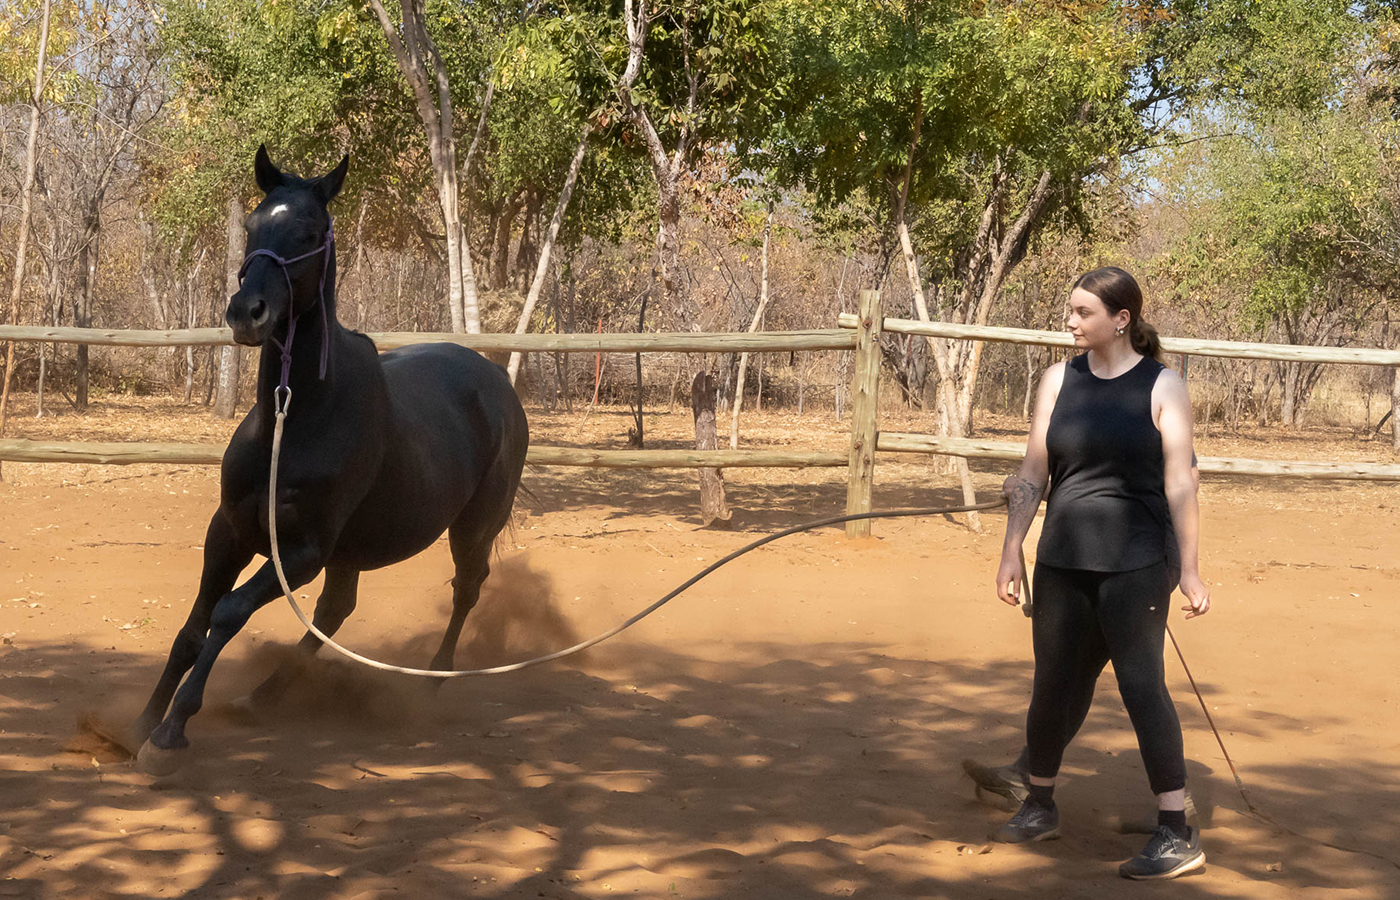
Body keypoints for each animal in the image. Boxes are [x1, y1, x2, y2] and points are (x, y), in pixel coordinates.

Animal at [128, 149, 529, 772]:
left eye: (310, 232)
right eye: (252, 225)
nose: (246, 313)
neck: (295, 421)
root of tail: (497, 383)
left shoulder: (303, 551)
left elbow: (227, 613)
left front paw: (172, 730)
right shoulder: (231, 531)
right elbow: (194, 627)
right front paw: (143, 723)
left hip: (472, 528)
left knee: (465, 591)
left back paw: (431, 682)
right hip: (354, 548)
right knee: (336, 610)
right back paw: (261, 696)